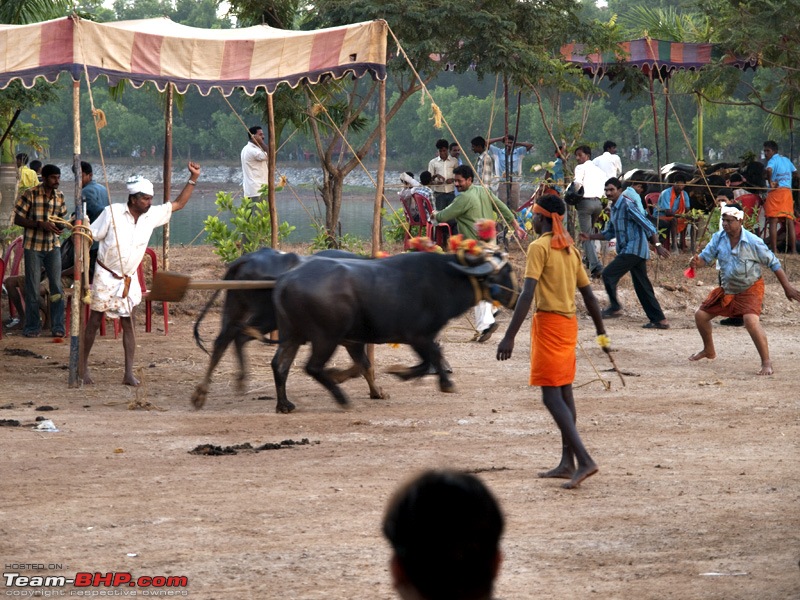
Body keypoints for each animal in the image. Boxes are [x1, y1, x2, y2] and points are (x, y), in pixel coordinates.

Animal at [191, 247, 384, 408]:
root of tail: (248, 259)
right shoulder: (347, 338)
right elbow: (363, 365)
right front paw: (372, 390)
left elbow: (362, 365)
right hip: (265, 316)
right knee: (236, 336)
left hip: (236, 307)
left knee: (224, 340)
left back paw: (208, 391)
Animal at [270, 248, 520, 412]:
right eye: (505, 271)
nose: (517, 298)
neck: (447, 279)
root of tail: (287, 278)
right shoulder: (419, 336)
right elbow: (432, 358)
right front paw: (442, 383)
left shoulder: (361, 341)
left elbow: (370, 364)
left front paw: (390, 381)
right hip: (325, 338)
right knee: (312, 367)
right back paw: (342, 399)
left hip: (292, 335)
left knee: (280, 365)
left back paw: (284, 404)